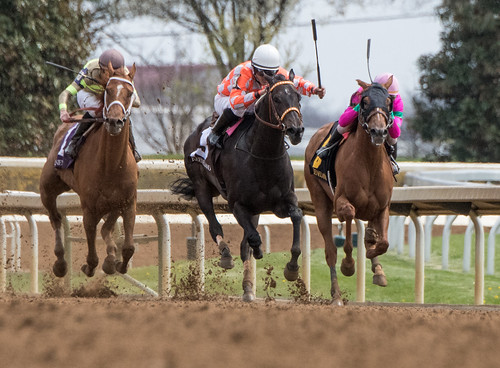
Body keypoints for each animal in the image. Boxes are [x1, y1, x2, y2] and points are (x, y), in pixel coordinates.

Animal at [40, 64, 139, 278]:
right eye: (108, 90)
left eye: (130, 93)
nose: (115, 121)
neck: (111, 166)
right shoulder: (89, 207)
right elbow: (92, 254)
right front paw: (89, 266)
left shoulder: (128, 202)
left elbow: (128, 247)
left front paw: (119, 264)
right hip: (48, 188)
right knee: (55, 218)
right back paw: (60, 262)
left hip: (113, 204)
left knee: (106, 228)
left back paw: (110, 257)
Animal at [172, 72, 304, 302]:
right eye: (277, 98)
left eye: (298, 97)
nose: (296, 130)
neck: (262, 155)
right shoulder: (237, 205)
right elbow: (253, 237)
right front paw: (257, 250)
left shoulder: (283, 202)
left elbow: (296, 217)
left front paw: (292, 268)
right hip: (201, 187)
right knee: (214, 224)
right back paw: (225, 254)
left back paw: (248, 288)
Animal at [304, 77, 394, 304]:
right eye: (364, 101)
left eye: (388, 101)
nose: (378, 132)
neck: (369, 164)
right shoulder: (341, 200)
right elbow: (348, 217)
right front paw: (349, 264)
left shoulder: (383, 207)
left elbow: (383, 242)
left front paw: (374, 256)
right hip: (320, 200)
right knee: (331, 249)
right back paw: (336, 292)